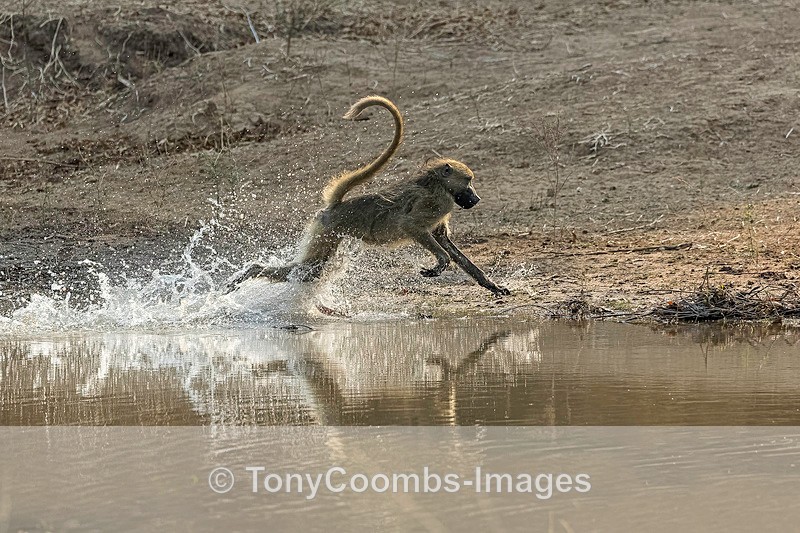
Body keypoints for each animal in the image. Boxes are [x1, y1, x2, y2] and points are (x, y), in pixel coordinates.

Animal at [226, 95, 511, 296]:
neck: (437, 185)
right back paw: (248, 274)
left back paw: (247, 273)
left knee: (310, 271)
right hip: (328, 230)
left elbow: (449, 245)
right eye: (469, 182)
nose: (476, 198)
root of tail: (336, 206)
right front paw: (439, 264)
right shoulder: (433, 204)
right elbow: (412, 226)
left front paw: (491, 285)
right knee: (311, 270)